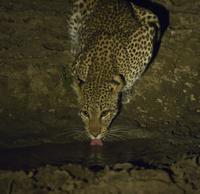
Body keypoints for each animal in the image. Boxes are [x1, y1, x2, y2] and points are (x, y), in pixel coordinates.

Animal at [68, 0, 160, 143]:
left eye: (104, 113)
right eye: (85, 113)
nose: (94, 134)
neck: (100, 69)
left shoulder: (145, 40)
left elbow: (131, 79)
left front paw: (126, 92)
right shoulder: (76, 66)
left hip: (151, 15)